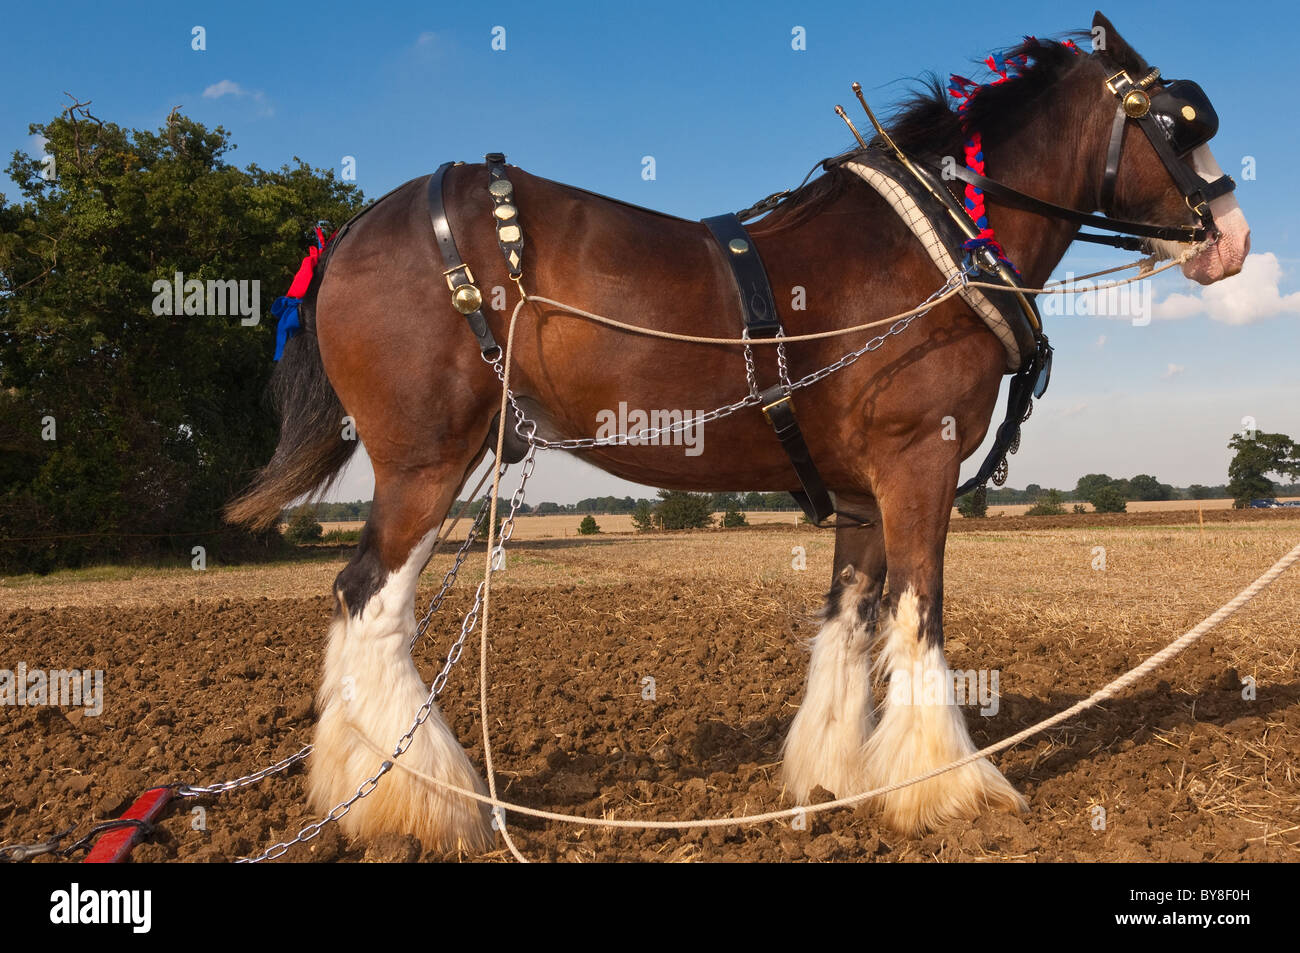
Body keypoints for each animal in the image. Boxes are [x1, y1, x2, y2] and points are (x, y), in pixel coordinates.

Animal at [226, 12, 1250, 852]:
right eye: (1184, 120)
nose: (1234, 239)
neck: (937, 249)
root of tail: (354, 228)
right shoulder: (918, 458)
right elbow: (921, 613)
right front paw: (946, 786)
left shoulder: (859, 490)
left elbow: (851, 622)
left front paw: (835, 778)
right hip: (427, 459)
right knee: (370, 600)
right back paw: (423, 801)